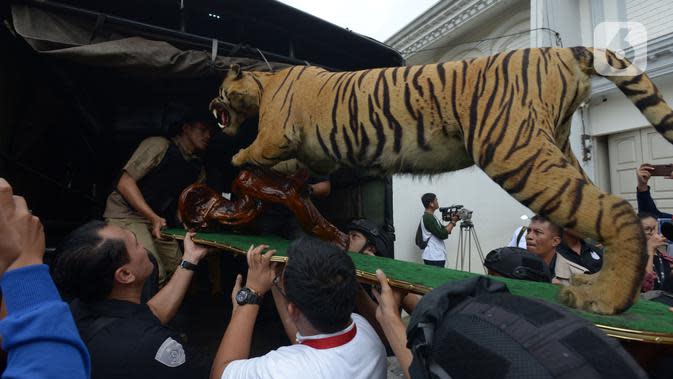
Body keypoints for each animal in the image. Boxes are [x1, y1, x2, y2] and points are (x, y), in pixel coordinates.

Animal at [210, 47, 672, 314]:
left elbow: (257, 146)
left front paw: (235, 156)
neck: (265, 81)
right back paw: (602, 285)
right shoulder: (312, 152)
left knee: (614, 208)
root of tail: (561, 48)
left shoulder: (276, 133)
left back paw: (603, 299)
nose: (212, 104)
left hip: (515, 150)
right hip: (555, 144)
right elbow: (292, 167)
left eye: (220, 89)